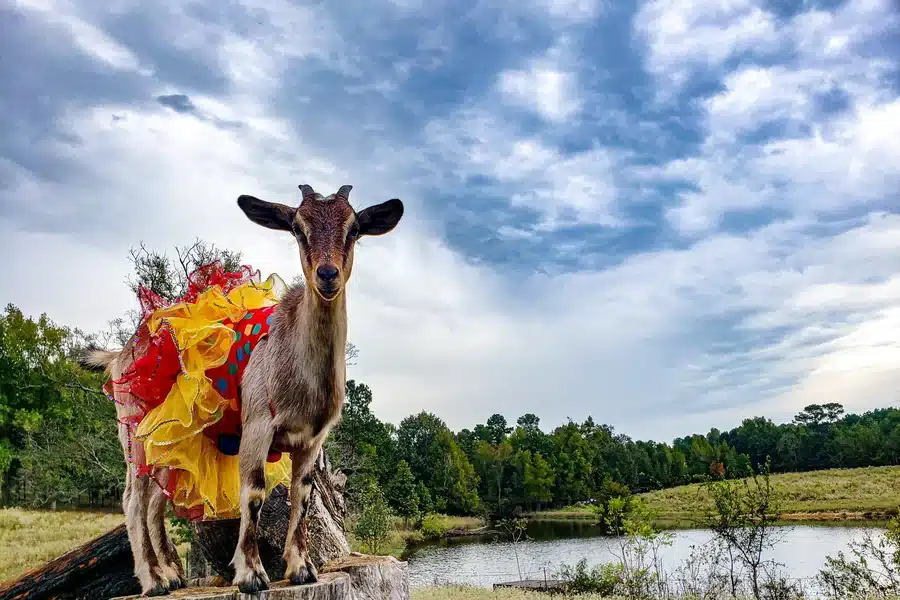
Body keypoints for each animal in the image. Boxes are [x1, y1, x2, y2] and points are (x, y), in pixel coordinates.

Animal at [79, 184, 404, 595]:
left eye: (355, 229)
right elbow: (253, 493)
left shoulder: (311, 441)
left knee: (155, 502)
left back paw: (172, 575)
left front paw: (301, 569)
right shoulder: (257, 425)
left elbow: (302, 496)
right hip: (134, 432)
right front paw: (251, 575)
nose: (327, 274)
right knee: (133, 501)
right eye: (297, 228)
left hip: (171, 443)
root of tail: (118, 355)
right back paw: (152, 581)